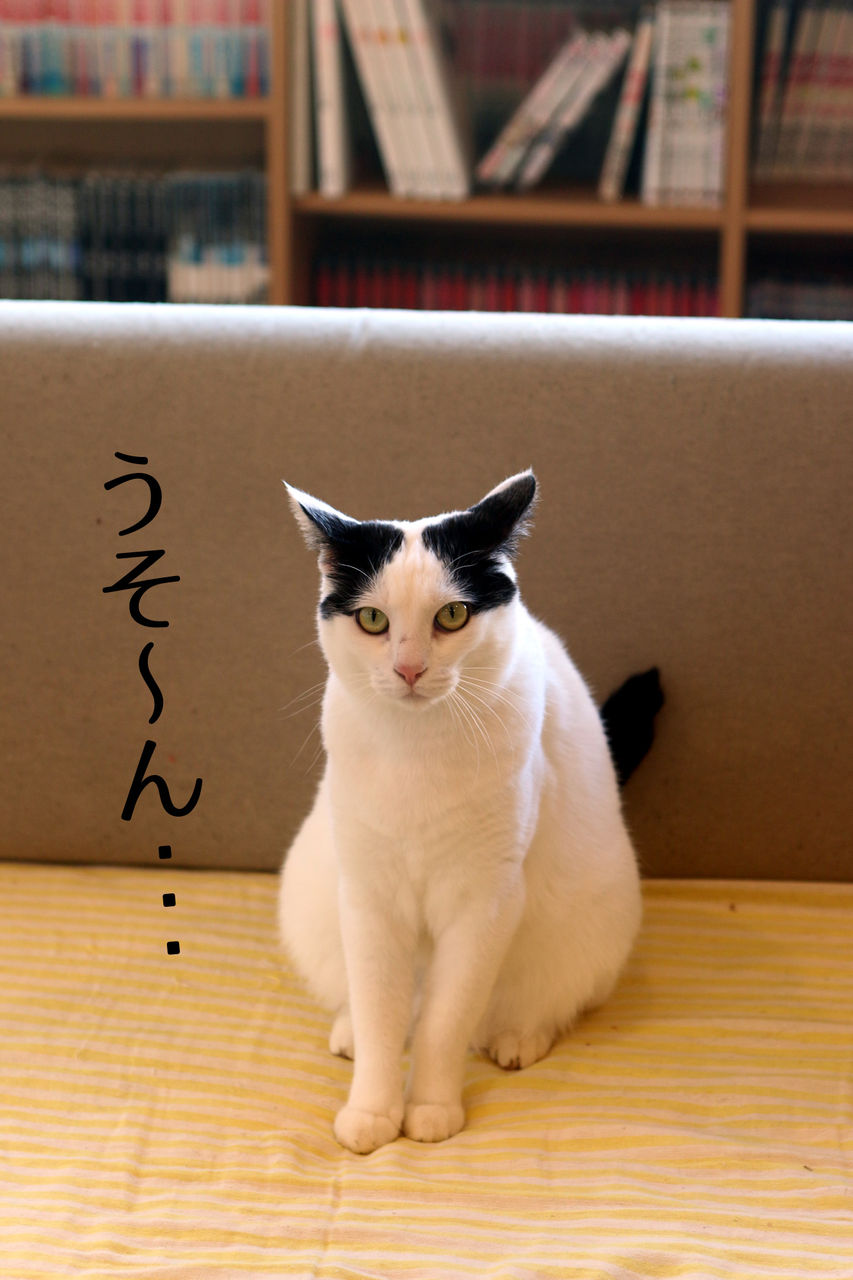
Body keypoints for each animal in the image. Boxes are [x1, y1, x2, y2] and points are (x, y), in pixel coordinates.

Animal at [279, 470, 642, 1155]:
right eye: (372, 619)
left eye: (452, 615)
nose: (409, 668)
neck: (417, 754)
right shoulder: (368, 897)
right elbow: (381, 1011)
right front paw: (371, 1112)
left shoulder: (486, 901)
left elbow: (446, 1022)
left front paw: (429, 1109)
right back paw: (348, 1030)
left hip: (592, 926)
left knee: (535, 1002)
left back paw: (518, 1038)